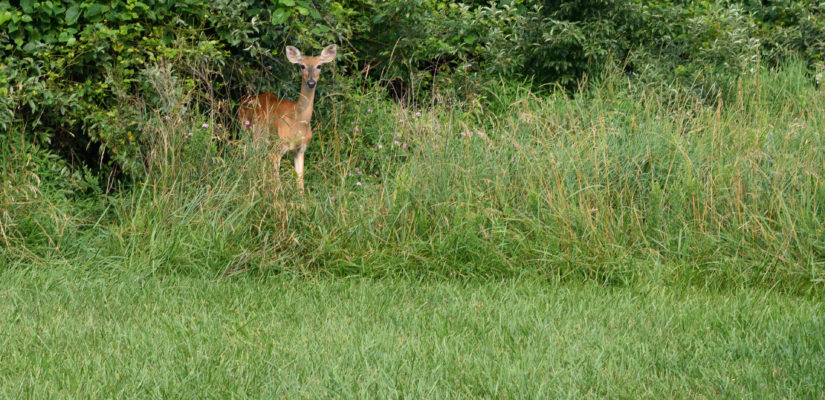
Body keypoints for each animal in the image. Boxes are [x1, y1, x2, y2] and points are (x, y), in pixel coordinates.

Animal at [238, 44, 338, 191]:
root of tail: (243, 99)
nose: (311, 82)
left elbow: (300, 183)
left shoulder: (300, 150)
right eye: (302, 66)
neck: (297, 123)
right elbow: (277, 183)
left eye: (319, 66)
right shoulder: (277, 147)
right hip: (247, 132)